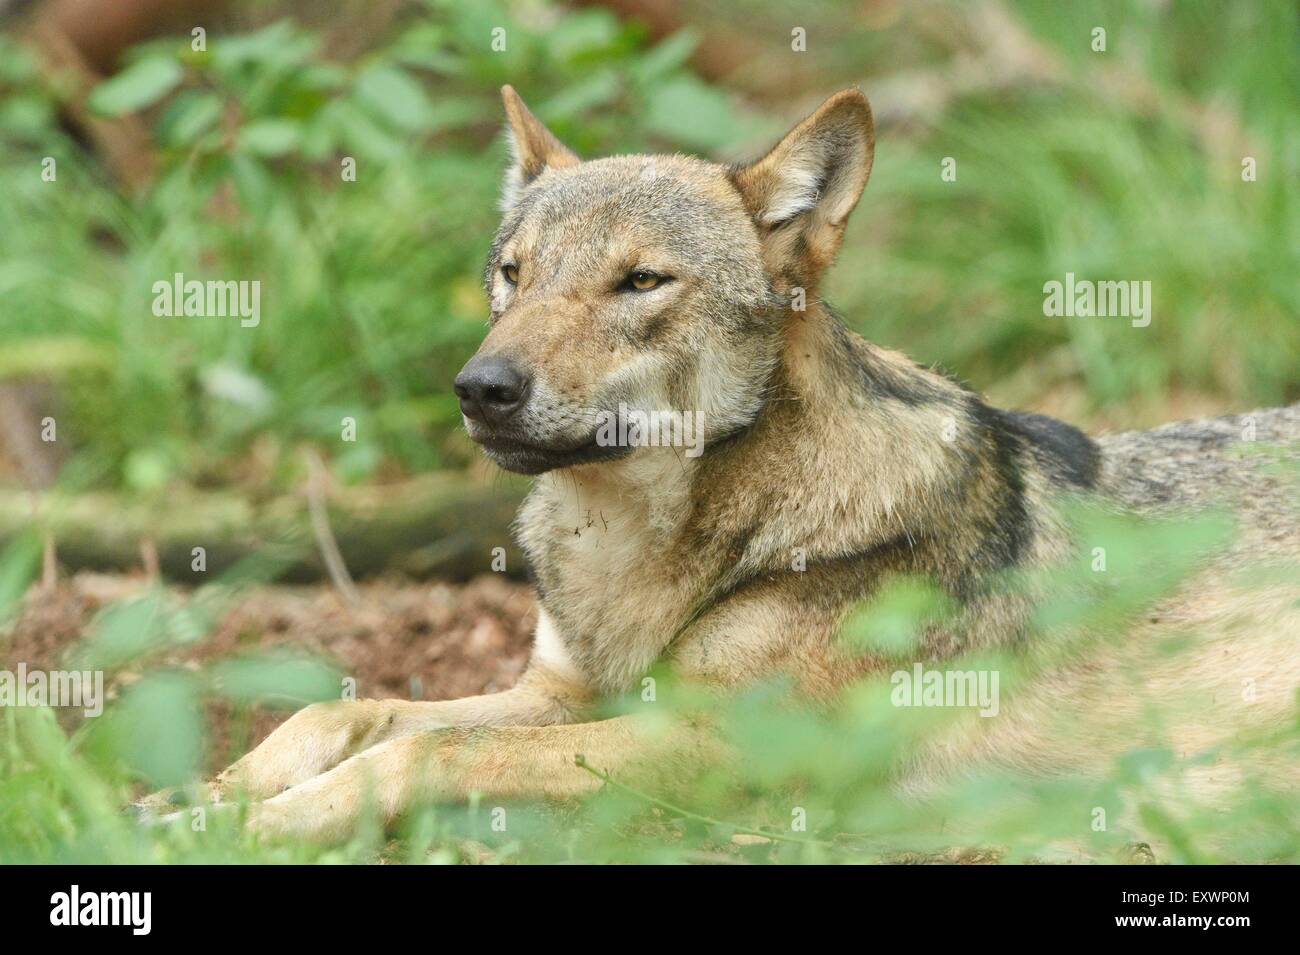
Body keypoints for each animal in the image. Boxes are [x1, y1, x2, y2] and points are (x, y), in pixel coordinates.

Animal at [142, 87, 1300, 841]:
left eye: (641, 281)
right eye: (512, 274)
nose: (481, 387)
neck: (639, 552)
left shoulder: (720, 750)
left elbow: (427, 751)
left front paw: (249, 826)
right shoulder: (566, 694)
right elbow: (346, 711)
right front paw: (192, 799)